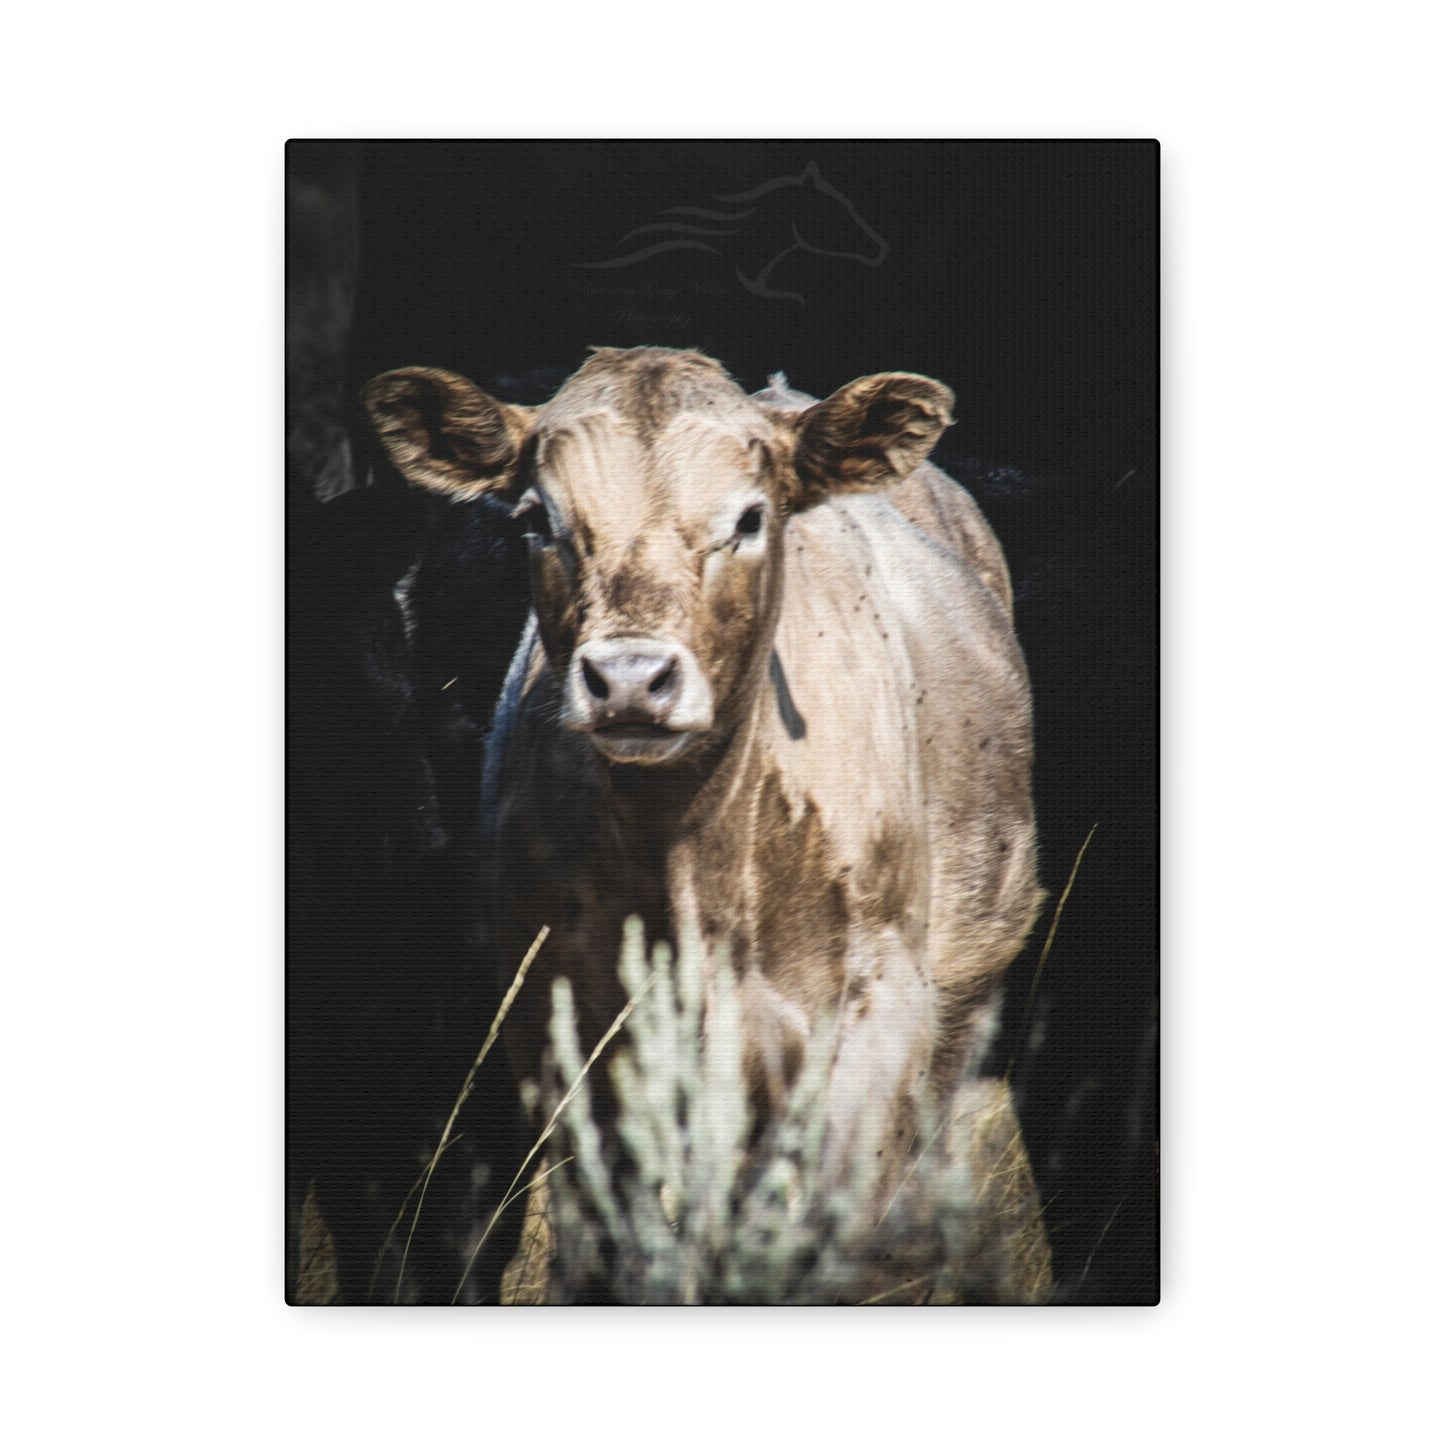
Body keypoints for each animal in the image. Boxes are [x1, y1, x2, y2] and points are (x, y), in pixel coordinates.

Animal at [363, 345, 1052, 1302]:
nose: (628, 678)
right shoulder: (560, 1034)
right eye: (538, 519)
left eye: (750, 517)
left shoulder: (873, 1016)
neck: (690, 860)